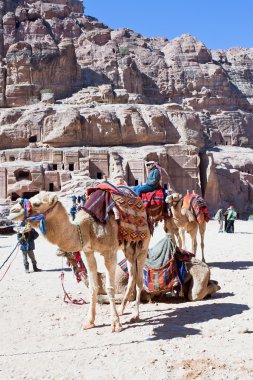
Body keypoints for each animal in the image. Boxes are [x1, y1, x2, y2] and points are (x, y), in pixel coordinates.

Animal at [9, 191, 151, 332]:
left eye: (37, 203)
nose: (12, 211)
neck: (86, 228)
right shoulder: (87, 251)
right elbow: (93, 287)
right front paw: (89, 322)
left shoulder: (110, 251)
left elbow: (109, 288)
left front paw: (115, 324)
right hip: (128, 247)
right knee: (132, 275)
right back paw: (121, 310)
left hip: (143, 244)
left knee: (139, 280)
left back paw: (135, 315)